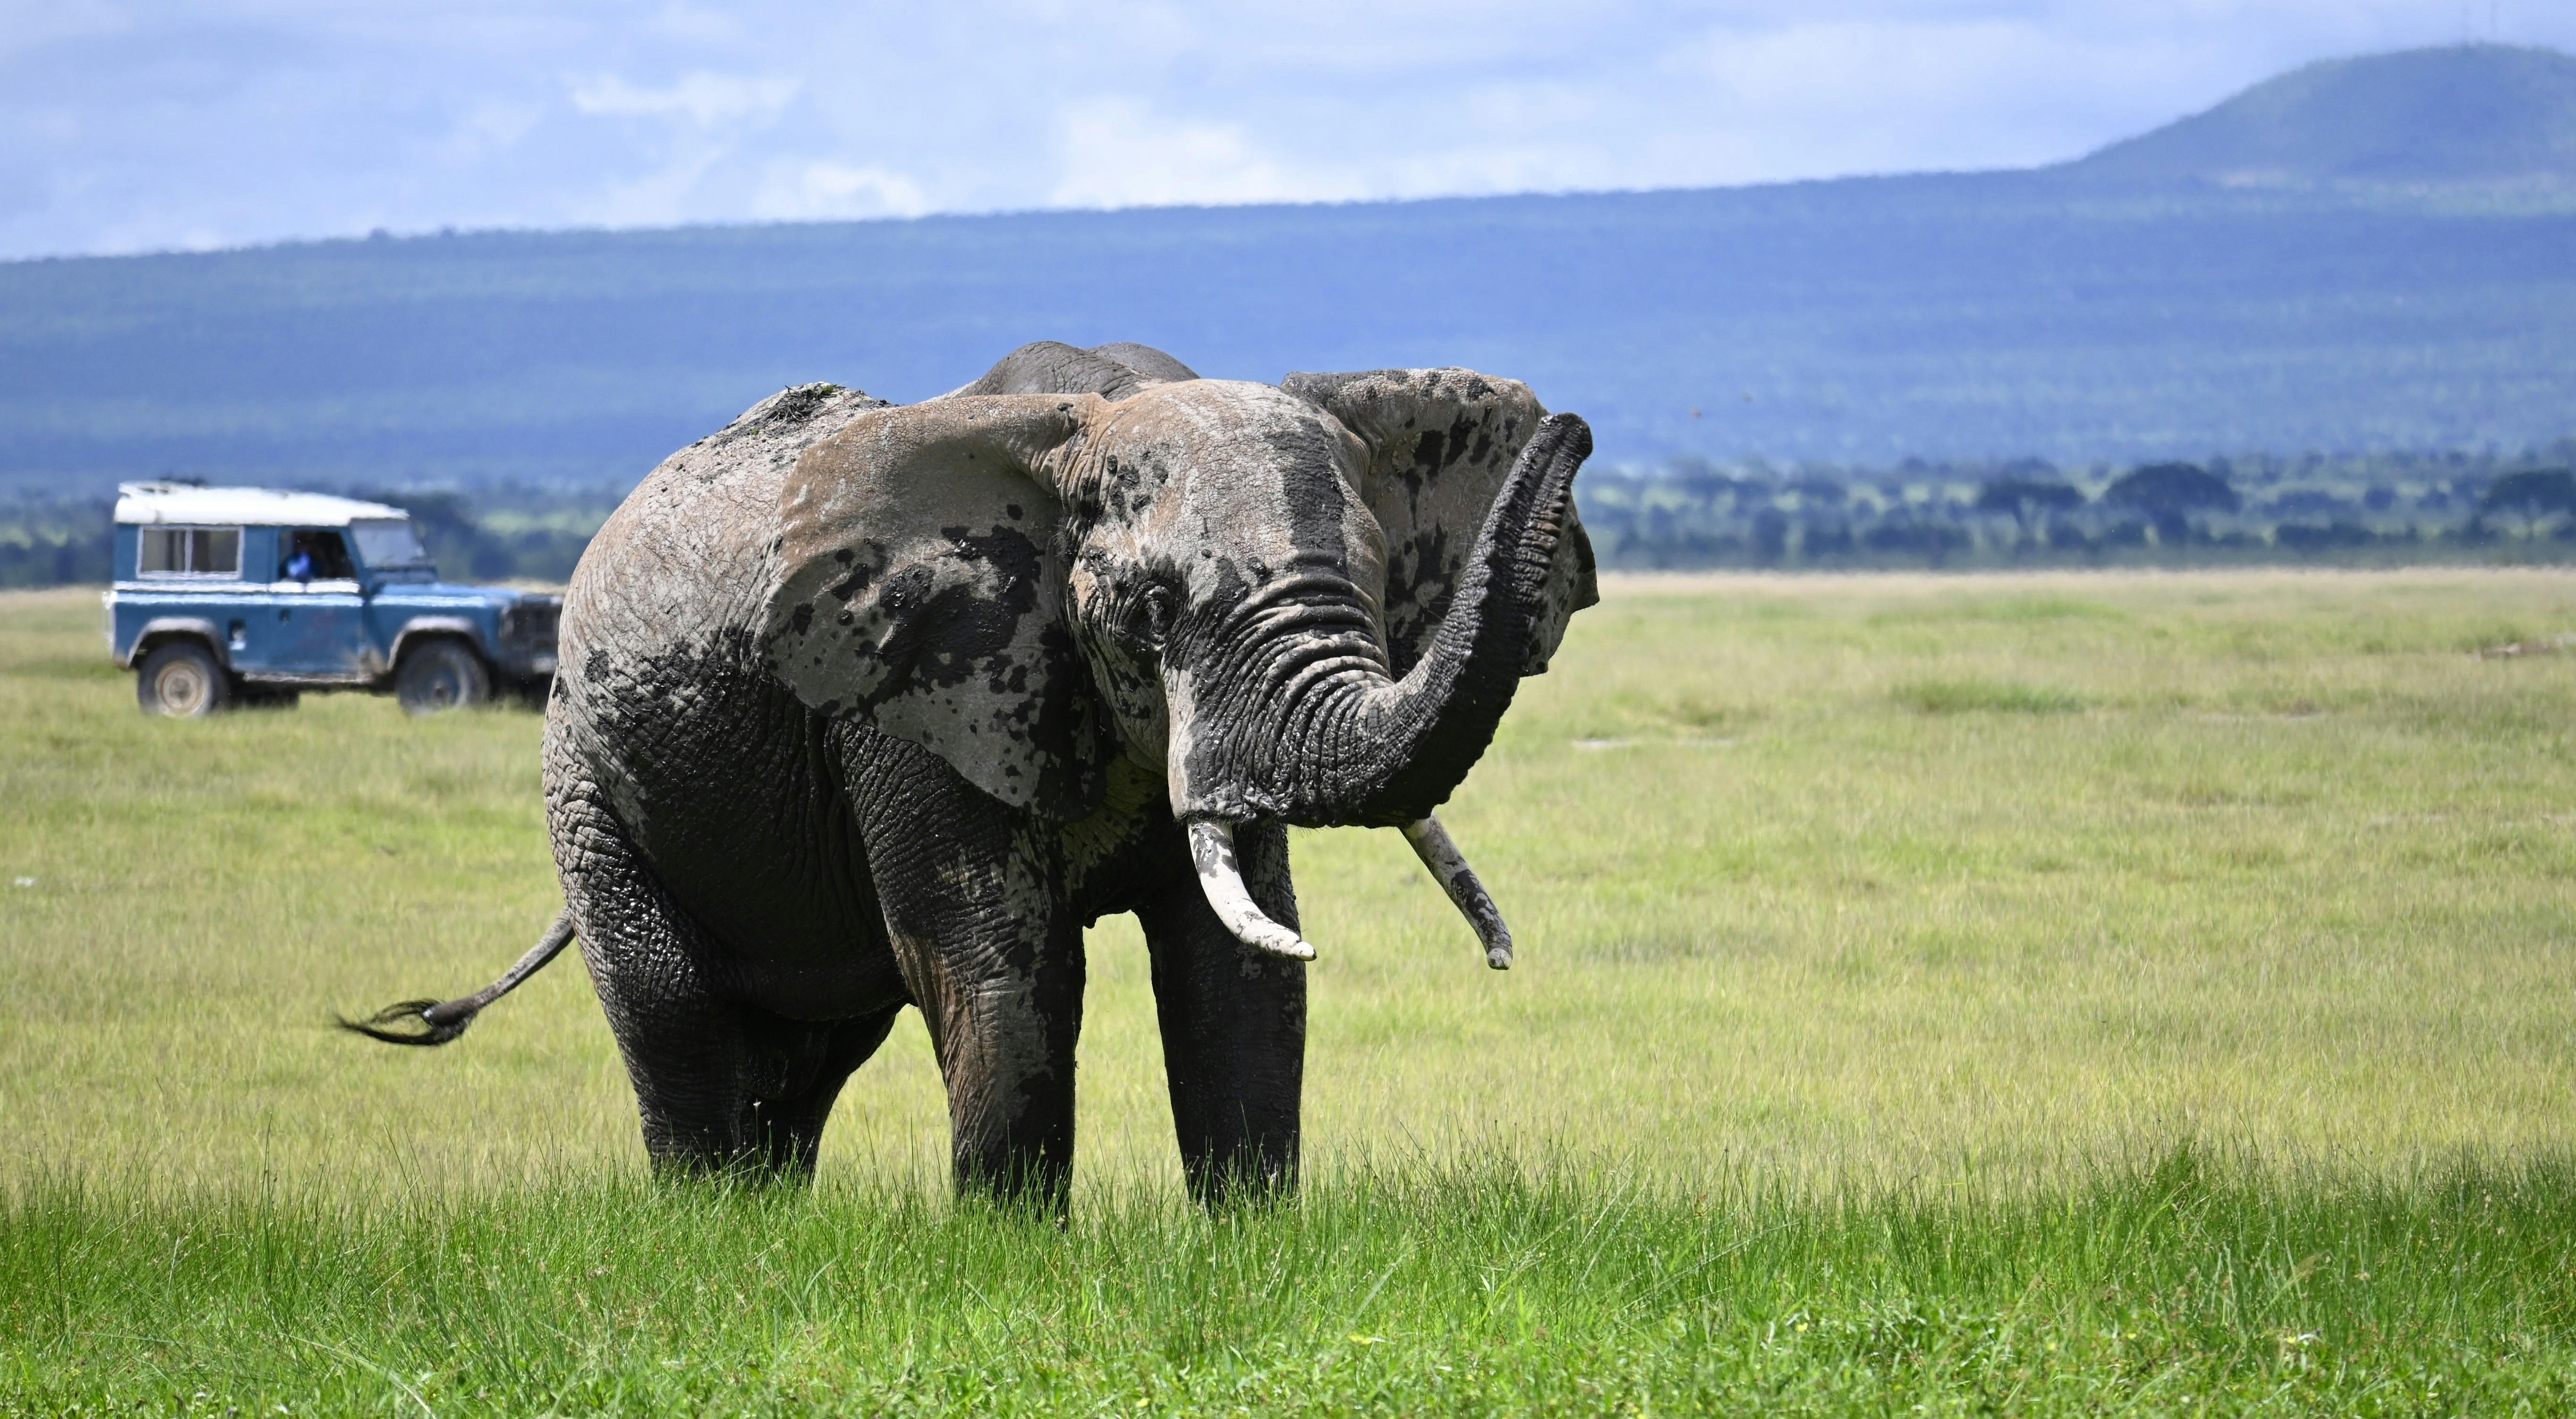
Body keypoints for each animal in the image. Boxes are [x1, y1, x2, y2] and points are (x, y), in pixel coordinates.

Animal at [348, 340, 1598, 1211]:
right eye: (1152, 609)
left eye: (1383, 581)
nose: (1576, 426)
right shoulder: (900, 699)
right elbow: (997, 960)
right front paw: (1011, 1254)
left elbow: (1235, 965)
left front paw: (1252, 1246)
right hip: (584, 775)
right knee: (675, 1016)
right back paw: (709, 1235)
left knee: (805, 1056)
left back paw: (764, 1232)